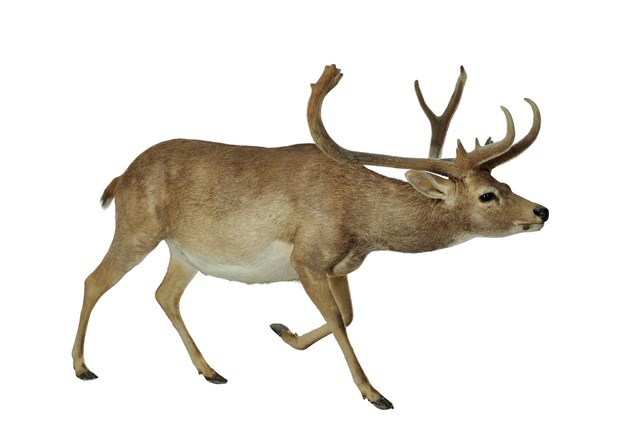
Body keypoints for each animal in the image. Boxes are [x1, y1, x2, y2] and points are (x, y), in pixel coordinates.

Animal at [72, 64, 548, 410]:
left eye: (506, 184)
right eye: (487, 195)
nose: (542, 211)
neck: (361, 220)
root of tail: (120, 178)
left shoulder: (341, 266)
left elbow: (349, 315)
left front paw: (283, 330)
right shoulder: (308, 257)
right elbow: (339, 320)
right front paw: (374, 394)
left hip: (184, 253)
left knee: (164, 294)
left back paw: (211, 370)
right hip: (137, 227)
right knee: (95, 280)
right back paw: (81, 367)